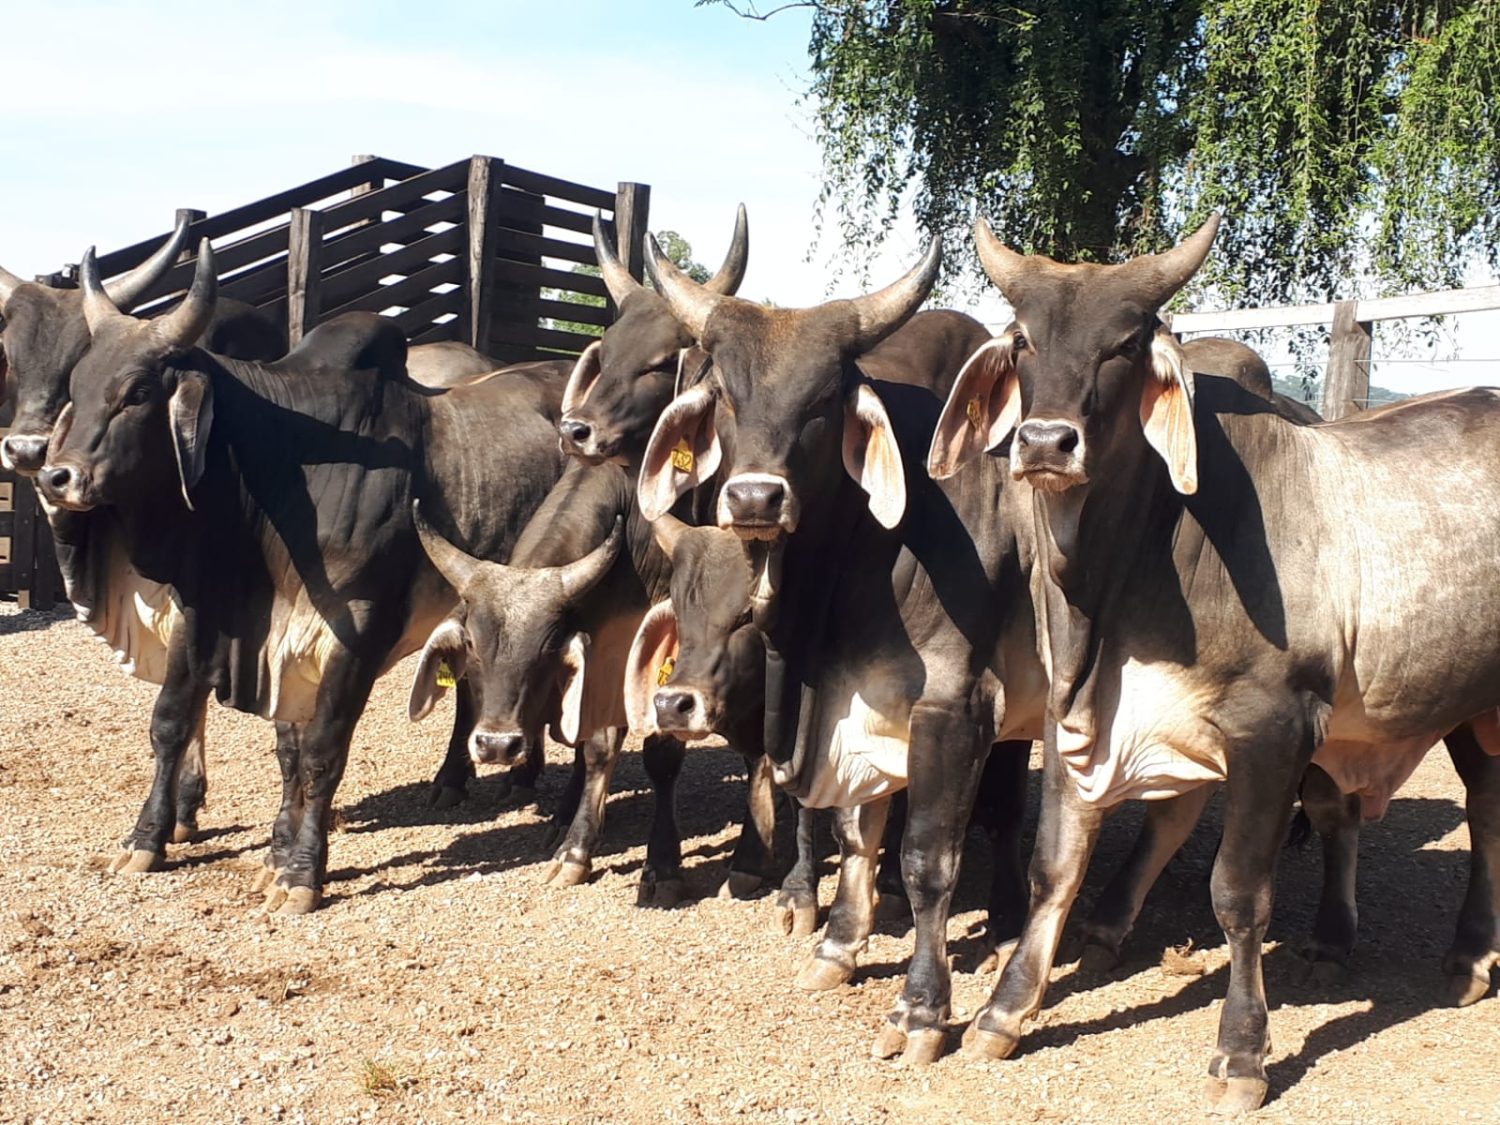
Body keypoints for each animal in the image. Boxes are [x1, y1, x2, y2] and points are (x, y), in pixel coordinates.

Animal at [930, 216, 1494, 1116]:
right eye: (1022, 339)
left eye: (1126, 343)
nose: (1045, 442)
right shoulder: (1074, 713)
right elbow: (1057, 862)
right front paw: (1004, 1010)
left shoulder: (1273, 728)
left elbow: (1238, 894)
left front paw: (1241, 1052)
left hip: (1474, 706)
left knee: (1485, 811)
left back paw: (1471, 955)